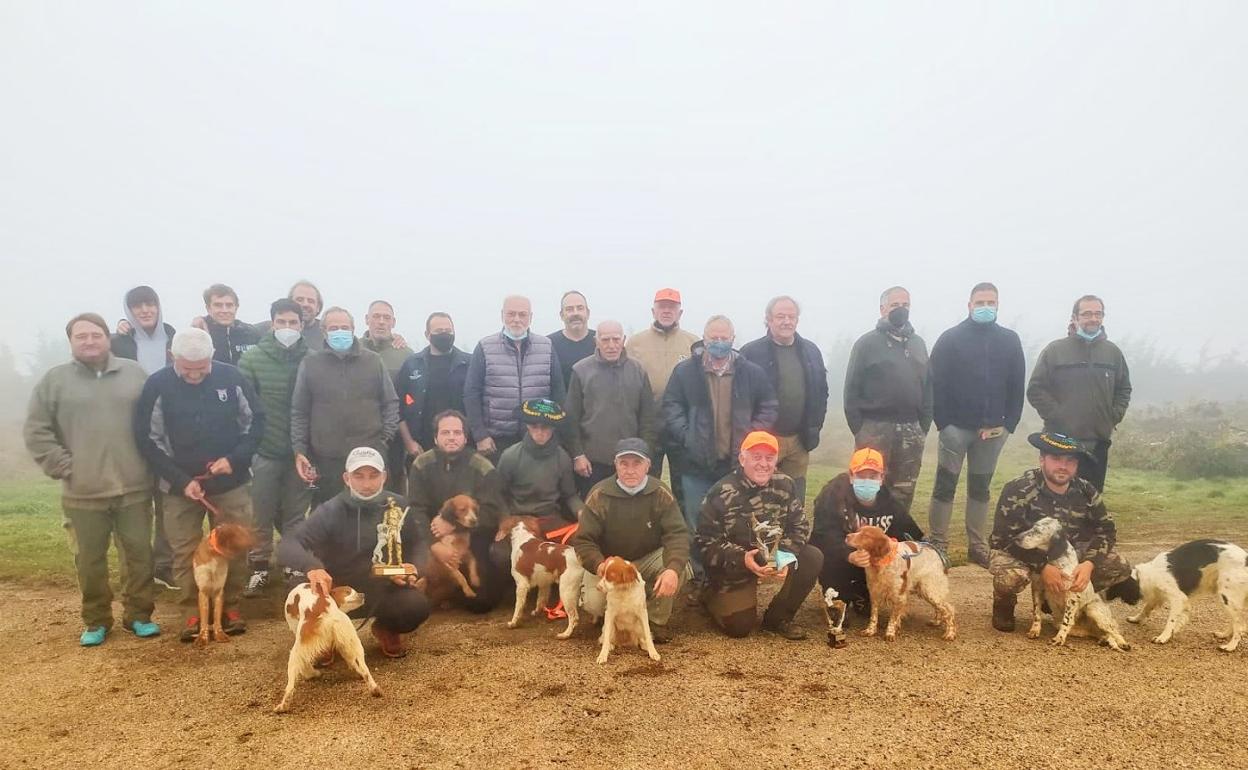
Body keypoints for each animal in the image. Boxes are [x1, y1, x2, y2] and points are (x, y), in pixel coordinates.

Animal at [275, 581, 381, 713]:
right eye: (347, 591)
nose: (362, 594)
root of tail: (326, 612)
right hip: (353, 641)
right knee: (365, 670)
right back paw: (374, 688)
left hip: (296, 651)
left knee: (290, 684)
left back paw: (284, 704)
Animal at [1013, 516, 1133, 648]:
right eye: (1031, 527)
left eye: (1038, 531)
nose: (1016, 538)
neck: (1055, 561)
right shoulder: (1037, 588)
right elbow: (1037, 613)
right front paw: (1035, 630)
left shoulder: (1072, 594)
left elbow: (1067, 620)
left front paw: (1059, 638)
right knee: (1098, 633)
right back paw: (1103, 640)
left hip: (1094, 610)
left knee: (1113, 630)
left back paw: (1122, 643)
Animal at [1108, 536, 1243, 653]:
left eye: (1115, 587)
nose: (1106, 597)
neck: (1147, 575)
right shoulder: (1160, 596)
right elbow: (1146, 609)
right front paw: (1135, 619)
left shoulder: (1178, 598)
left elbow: (1171, 620)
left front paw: (1163, 637)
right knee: (1234, 620)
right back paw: (1224, 634)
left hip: (1226, 596)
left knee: (1239, 623)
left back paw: (1230, 646)